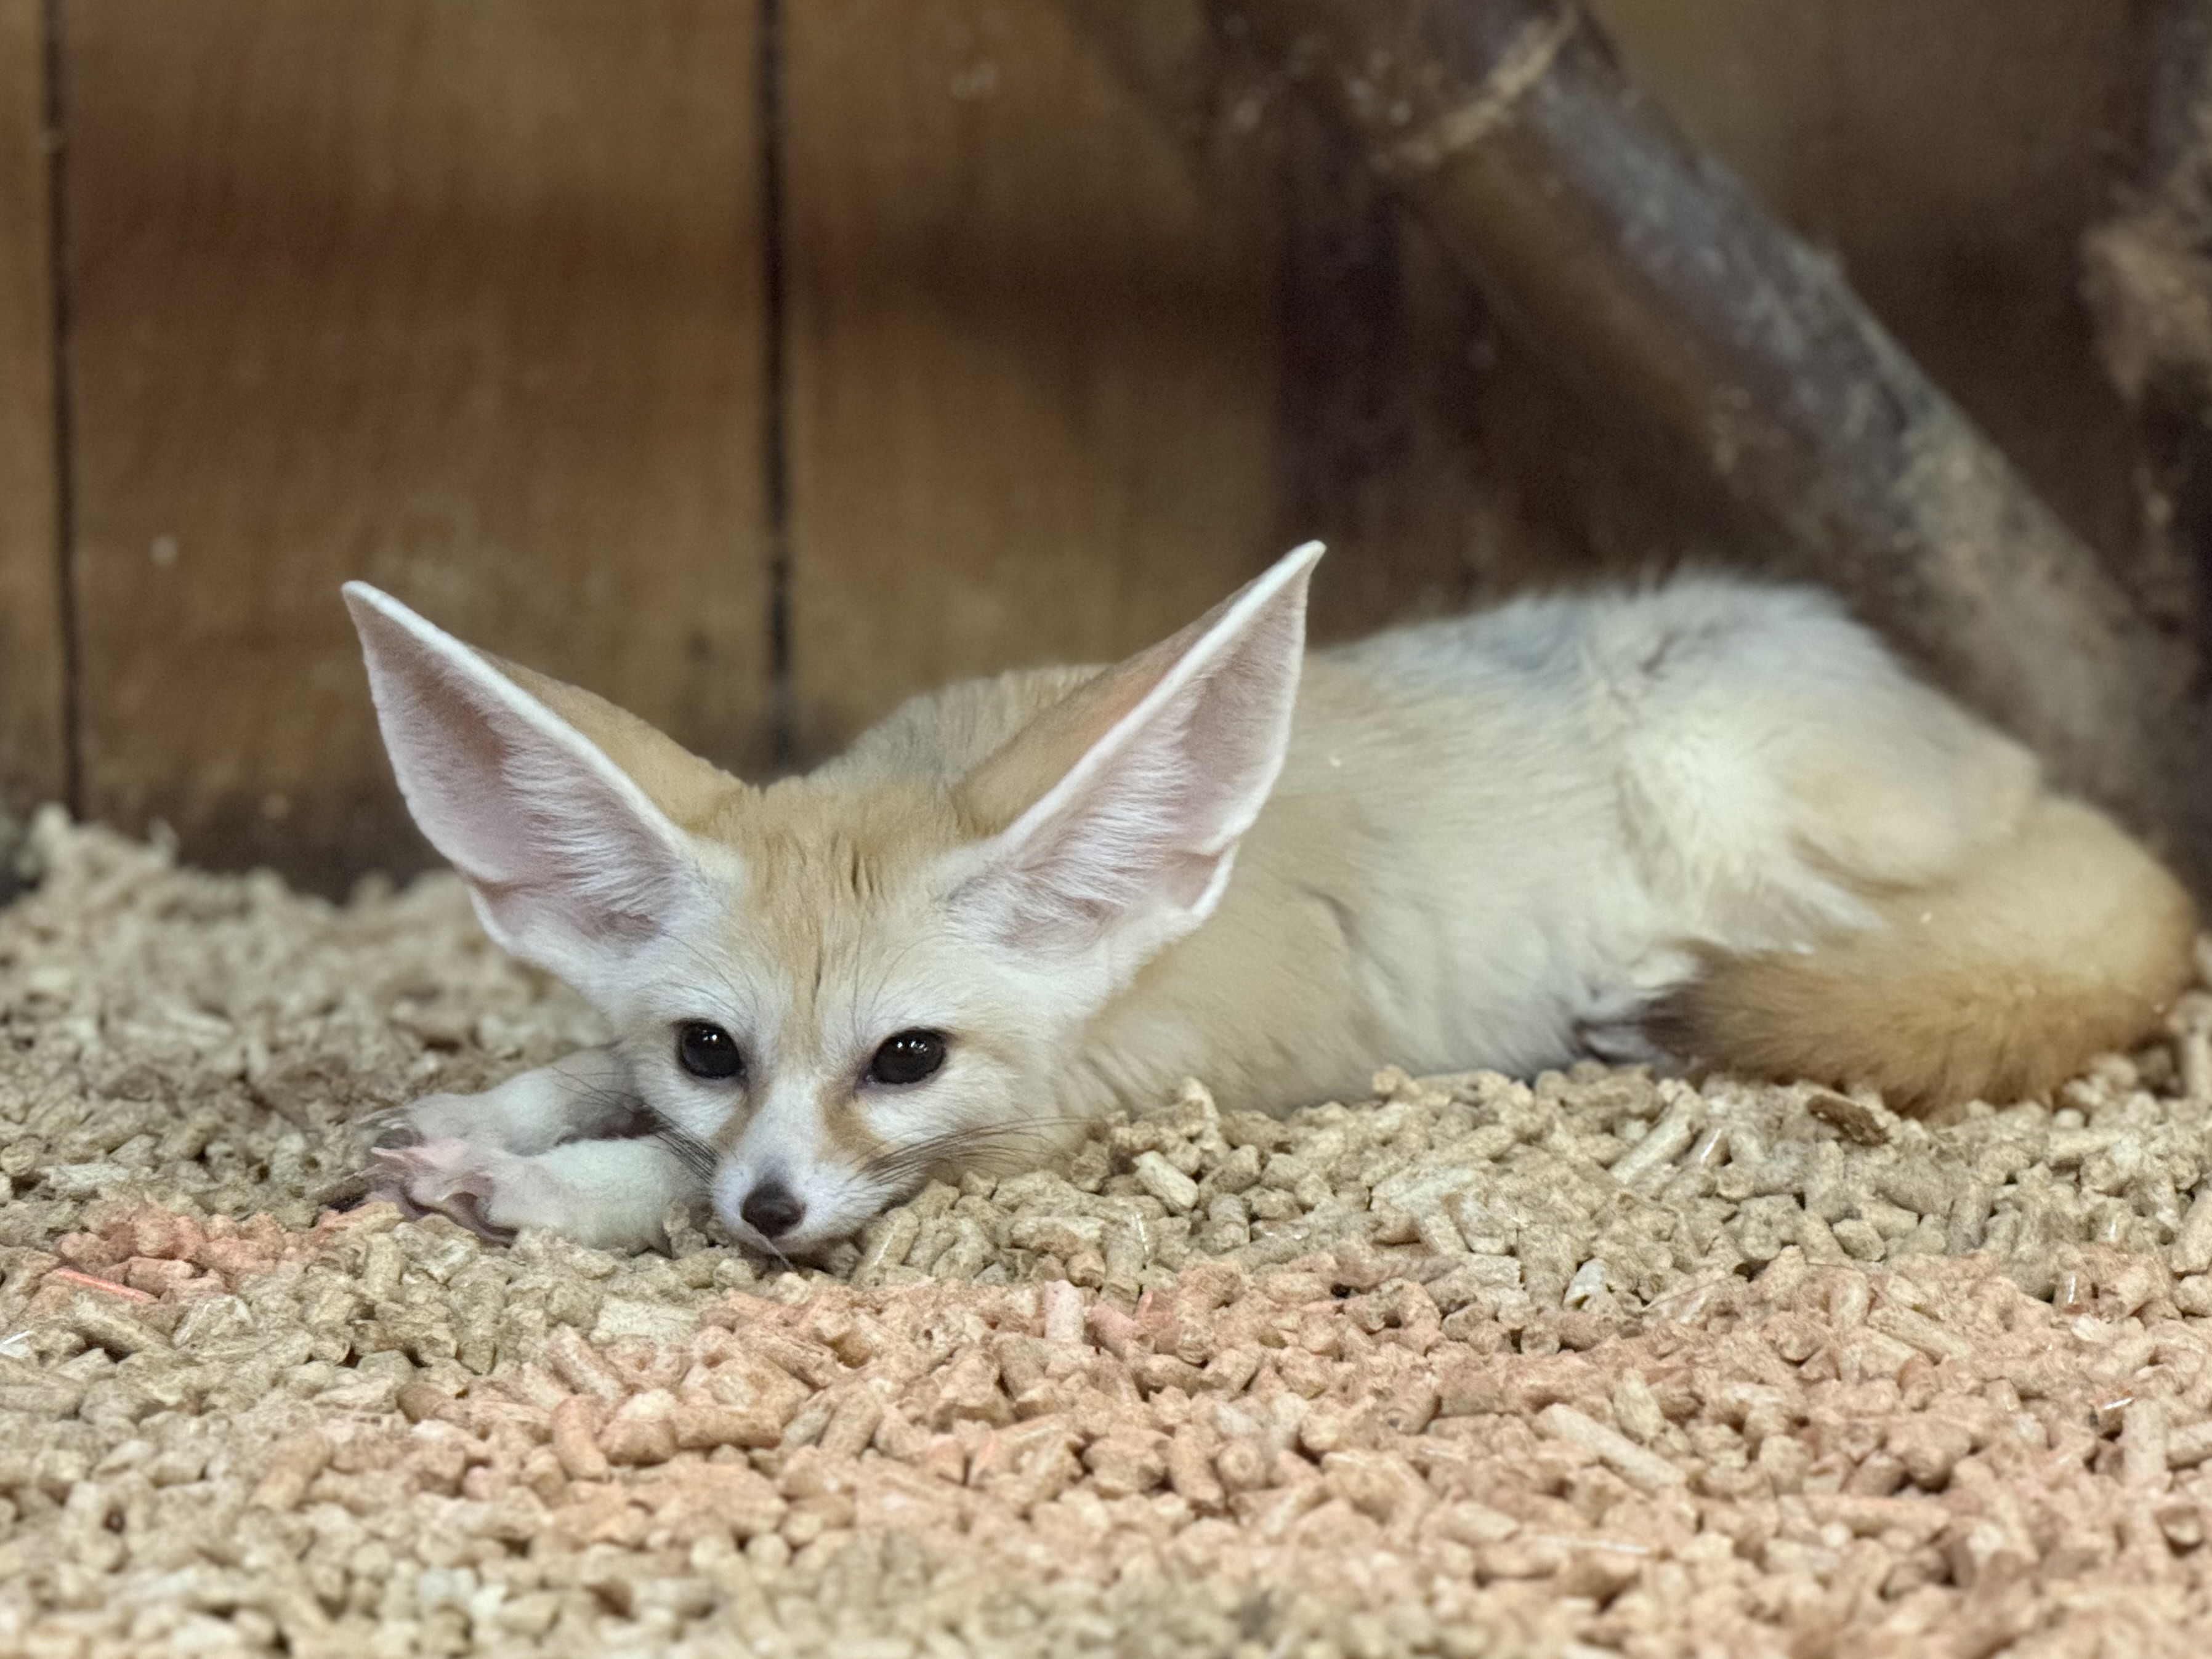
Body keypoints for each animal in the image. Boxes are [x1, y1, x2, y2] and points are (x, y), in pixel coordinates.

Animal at [343, 543, 2198, 1254]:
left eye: (907, 1058)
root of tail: (2018, 757)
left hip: (1711, 776)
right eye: (712, 1048)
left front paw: (535, 1186)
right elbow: (596, 1069)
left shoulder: (1060, 1116)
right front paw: (482, 1111)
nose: (778, 1208)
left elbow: (663, 1172)